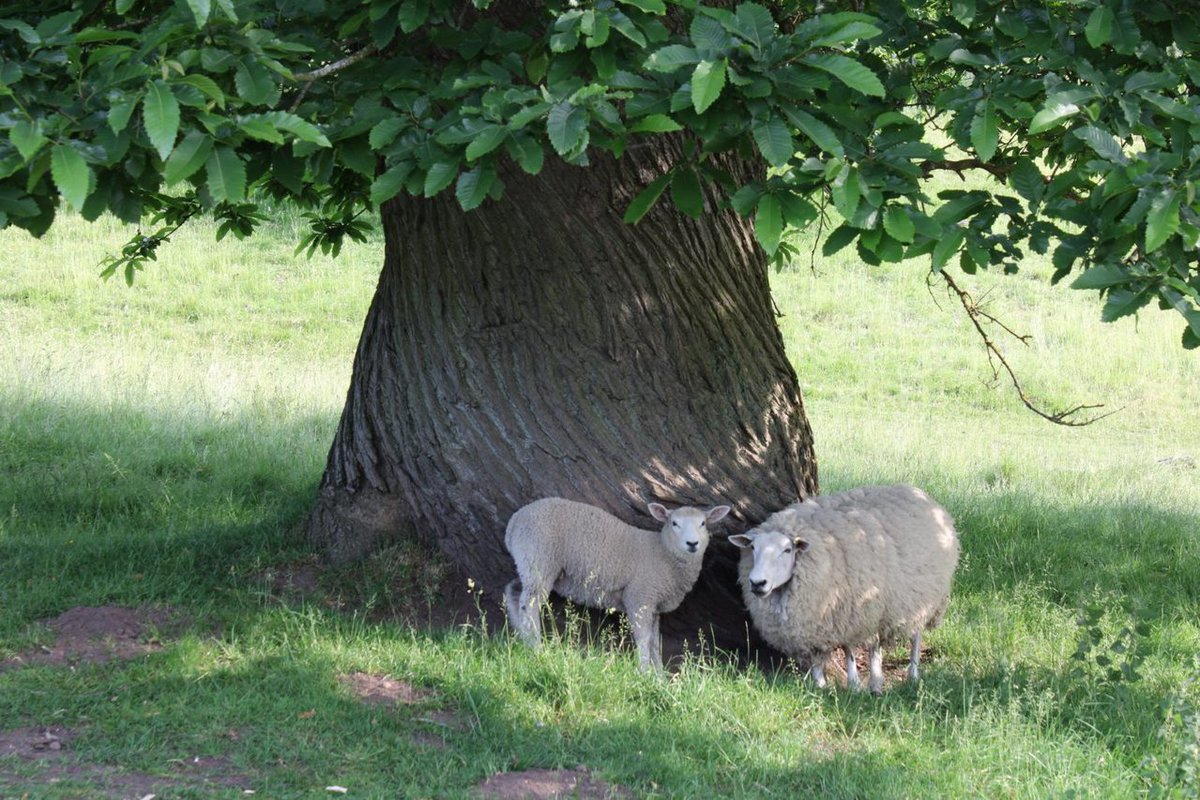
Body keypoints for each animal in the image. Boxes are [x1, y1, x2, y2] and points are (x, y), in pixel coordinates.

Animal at [499, 496, 724, 671]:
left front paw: (660, 676)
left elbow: (654, 643)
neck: (663, 552)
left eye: (703, 523)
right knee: (530, 605)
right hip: (539, 559)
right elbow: (643, 639)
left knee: (515, 595)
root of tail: (514, 522)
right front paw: (645, 673)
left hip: (528, 564)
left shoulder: (654, 605)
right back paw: (537, 649)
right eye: (674, 523)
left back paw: (523, 641)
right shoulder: (639, 597)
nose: (692, 544)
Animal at [724, 482, 960, 695]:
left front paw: (855, 685)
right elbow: (815, 656)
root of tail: (918, 492)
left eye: (787, 550)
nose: (757, 583)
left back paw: (912, 674)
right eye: (753, 547)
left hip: (922, 598)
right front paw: (819, 685)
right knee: (878, 644)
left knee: (915, 636)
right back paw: (878, 680)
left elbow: (849, 650)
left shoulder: (850, 612)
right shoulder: (811, 626)